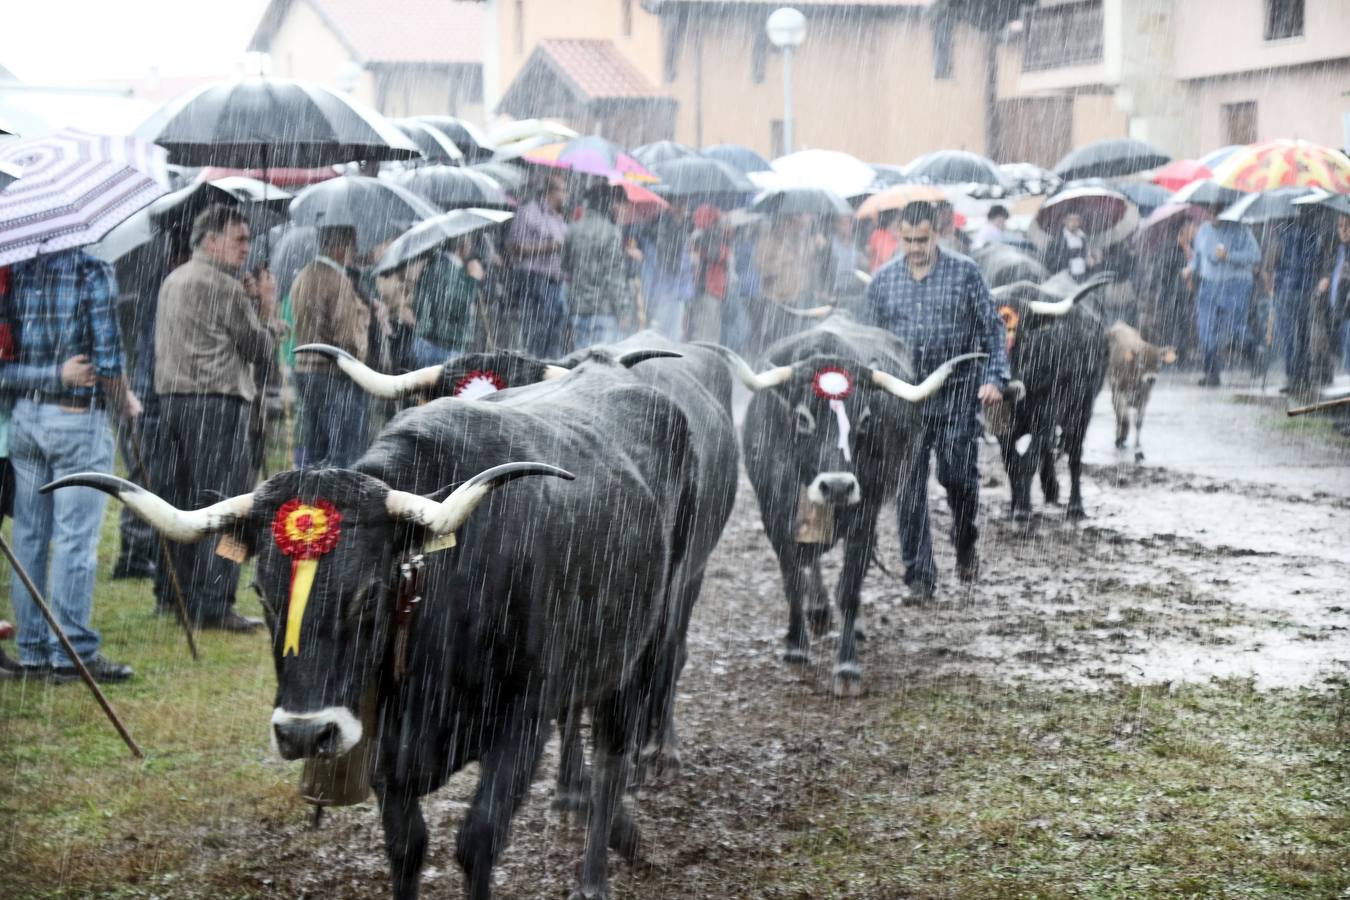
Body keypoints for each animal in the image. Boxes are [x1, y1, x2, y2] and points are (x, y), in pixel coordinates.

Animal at [44, 353, 696, 900]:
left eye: (369, 596)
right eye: (263, 595)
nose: (306, 735)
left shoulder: (523, 718)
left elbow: (479, 840)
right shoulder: (382, 739)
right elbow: (406, 847)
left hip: (644, 643)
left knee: (613, 755)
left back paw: (598, 869)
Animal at [712, 315, 988, 696]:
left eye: (866, 419)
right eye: (803, 418)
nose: (839, 486)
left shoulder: (864, 517)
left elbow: (849, 588)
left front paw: (846, 667)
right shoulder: (775, 516)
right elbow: (794, 577)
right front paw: (796, 646)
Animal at [988, 272, 1112, 520]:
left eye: (1024, 338)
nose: (1009, 389)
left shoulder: (1045, 417)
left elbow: (1028, 461)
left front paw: (1023, 508)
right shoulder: (1001, 426)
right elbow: (1011, 462)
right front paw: (1016, 505)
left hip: (1083, 410)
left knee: (1075, 455)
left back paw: (1075, 506)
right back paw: (1051, 489)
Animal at [1112, 322, 1177, 464]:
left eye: (1159, 362)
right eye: (1141, 361)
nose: (1151, 378)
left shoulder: (1144, 399)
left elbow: (1138, 423)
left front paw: (1138, 450)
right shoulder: (1120, 393)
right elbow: (1124, 418)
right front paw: (1121, 438)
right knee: (1119, 415)